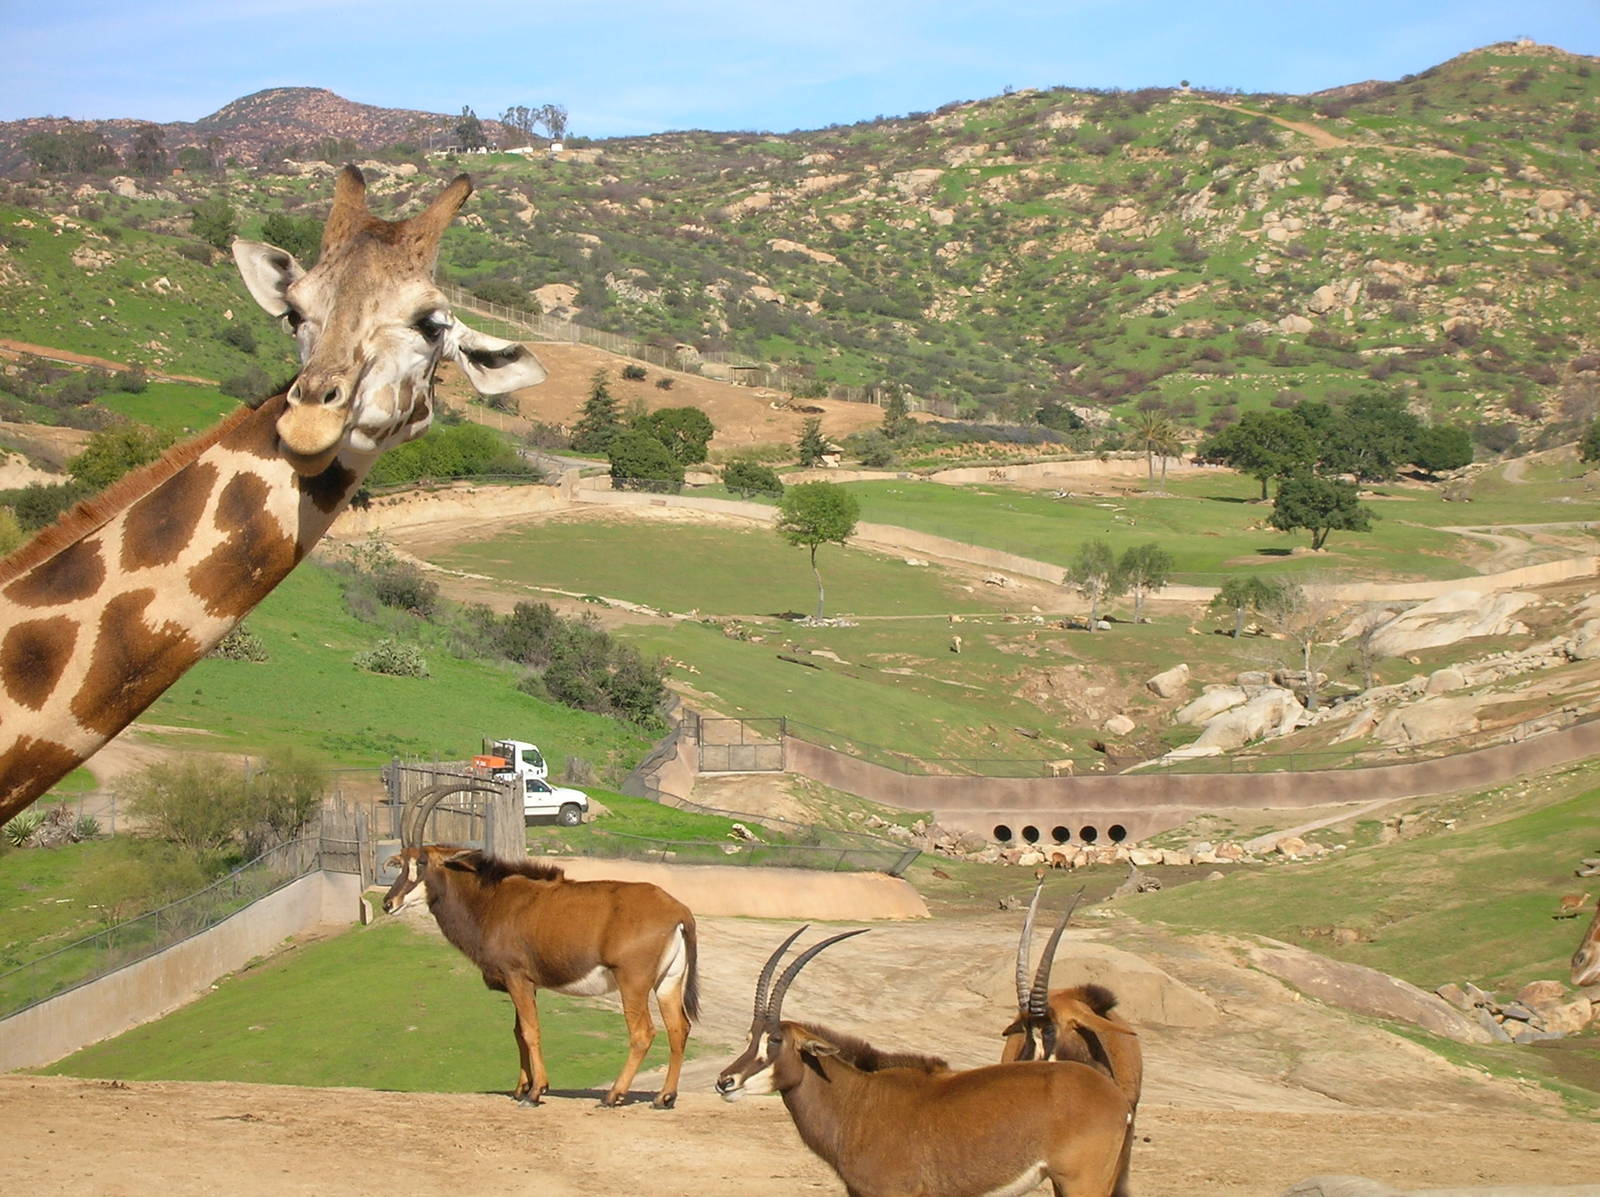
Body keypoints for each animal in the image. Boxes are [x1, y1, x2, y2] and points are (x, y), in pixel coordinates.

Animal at [383, 787, 699, 1108]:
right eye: (403, 862)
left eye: (422, 863)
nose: (388, 903)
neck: (492, 900)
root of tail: (678, 911)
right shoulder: (525, 984)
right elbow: (518, 1032)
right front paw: (521, 1088)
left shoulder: (516, 977)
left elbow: (530, 1030)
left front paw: (536, 1092)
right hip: (668, 981)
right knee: (679, 1028)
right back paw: (664, 1096)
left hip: (632, 982)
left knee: (642, 1032)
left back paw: (613, 1095)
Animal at [716, 926, 1134, 1197]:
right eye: (749, 1037)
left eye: (775, 1040)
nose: (725, 1082)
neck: (857, 1101)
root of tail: (1116, 1098)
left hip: (1080, 1181)